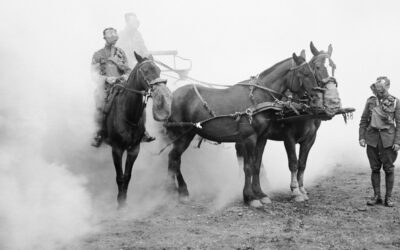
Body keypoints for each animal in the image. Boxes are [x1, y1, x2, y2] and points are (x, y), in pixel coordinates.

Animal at [104, 51, 172, 208]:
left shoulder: (134, 149)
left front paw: (124, 200)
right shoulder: (116, 149)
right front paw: (120, 203)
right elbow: (119, 176)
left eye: (159, 70)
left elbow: (127, 176)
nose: (162, 93)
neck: (128, 115)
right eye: (145, 71)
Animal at [166, 49, 324, 208]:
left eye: (313, 71)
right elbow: (248, 167)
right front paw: (250, 197)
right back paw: (175, 193)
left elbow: (257, 165)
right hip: (182, 136)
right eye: (304, 73)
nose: (318, 98)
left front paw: (261, 194)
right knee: (174, 159)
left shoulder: (262, 138)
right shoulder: (250, 138)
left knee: (174, 159)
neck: (259, 99)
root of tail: (172, 95)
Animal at [236, 42, 342, 202]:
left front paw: (302, 189)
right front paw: (295, 191)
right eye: (316, 67)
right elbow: (293, 163)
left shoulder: (310, 139)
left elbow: (302, 164)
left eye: (334, 66)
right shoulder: (288, 137)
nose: (333, 102)